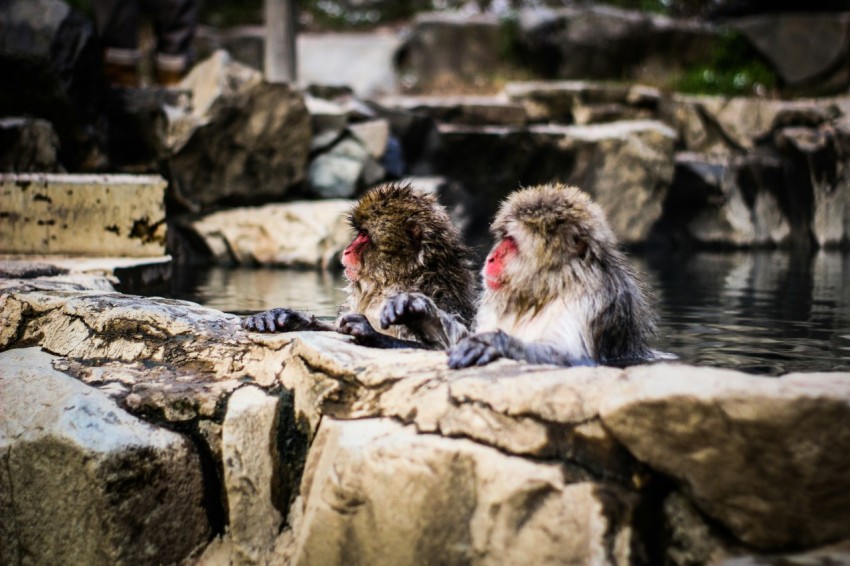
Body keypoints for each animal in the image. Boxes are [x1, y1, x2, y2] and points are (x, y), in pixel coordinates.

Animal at [240, 183, 476, 350]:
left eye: (364, 235)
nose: (346, 250)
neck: (392, 283)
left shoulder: (442, 300)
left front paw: (370, 333)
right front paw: (285, 317)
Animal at [444, 184, 656, 370]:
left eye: (511, 241)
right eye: (504, 237)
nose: (491, 258)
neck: (547, 291)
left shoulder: (592, 299)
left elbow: (577, 359)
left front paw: (495, 343)